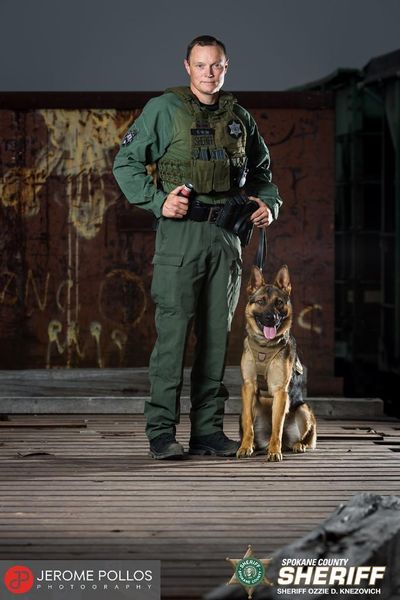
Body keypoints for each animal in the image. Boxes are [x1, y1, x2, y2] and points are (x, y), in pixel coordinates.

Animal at [238, 264, 316, 462]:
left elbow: (277, 426)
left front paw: (274, 451)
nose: (271, 318)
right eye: (261, 301)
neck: (264, 347)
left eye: (279, 302)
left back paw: (297, 445)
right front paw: (245, 447)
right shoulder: (248, 387)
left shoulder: (281, 392)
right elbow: (249, 423)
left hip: (303, 409)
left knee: (302, 437)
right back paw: (256, 445)